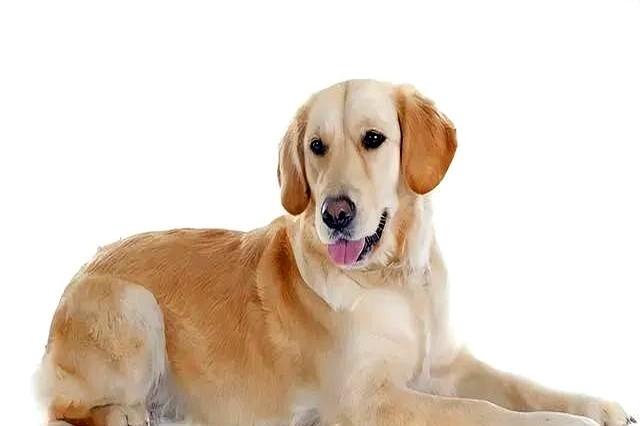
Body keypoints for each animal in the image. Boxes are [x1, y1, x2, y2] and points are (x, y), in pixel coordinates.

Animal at [38, 80, 633, 426]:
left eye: (373, 139)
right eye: (316, 147)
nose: (334, 213)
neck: (396, 281)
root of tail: (80, 269)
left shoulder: (446, 364)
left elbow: (519, 386)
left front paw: (595, 405)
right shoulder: (370, 399)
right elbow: (482, 412)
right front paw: (568, 424)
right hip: (135, 307)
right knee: (63, 407)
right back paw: (127, 415)